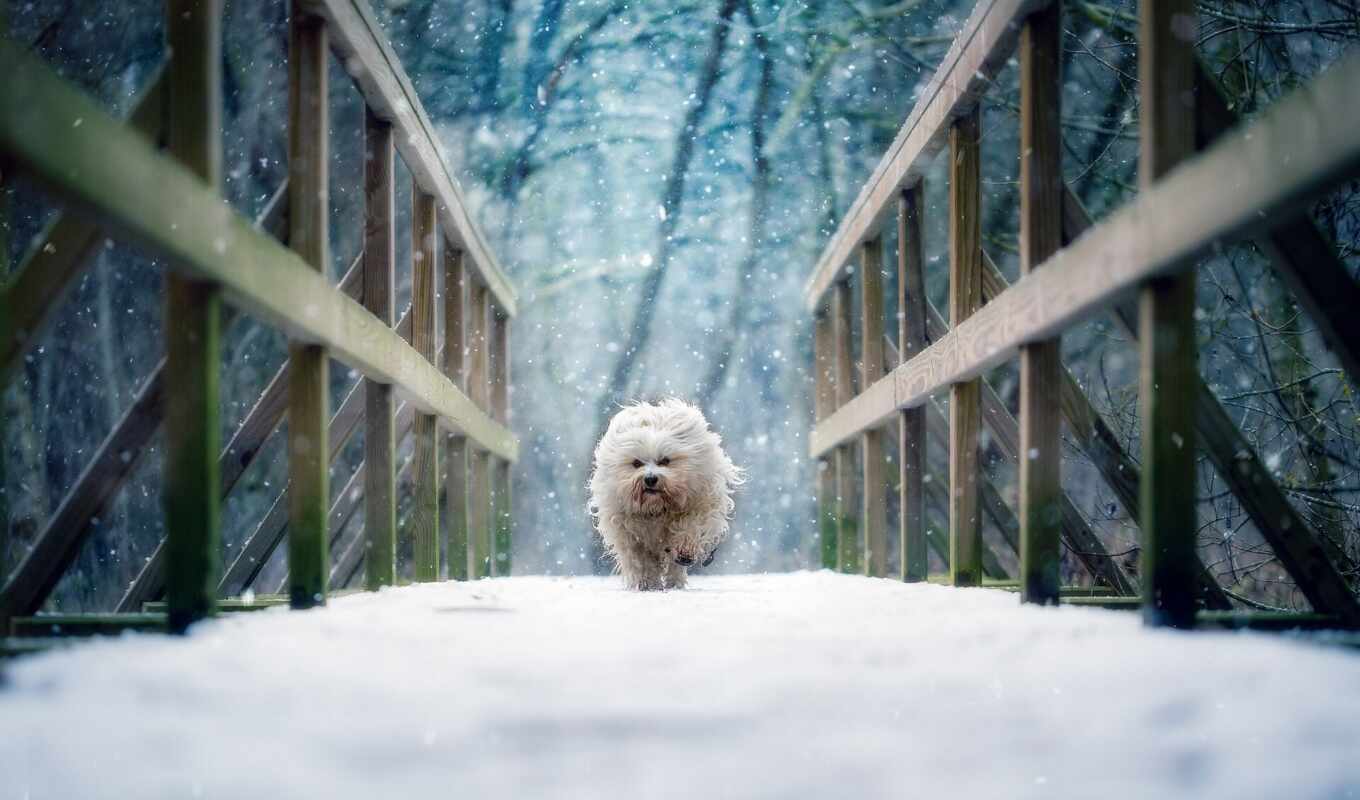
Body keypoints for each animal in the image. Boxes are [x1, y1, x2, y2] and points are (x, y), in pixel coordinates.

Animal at [590, 397, 745, 590]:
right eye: (636, 463)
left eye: (665, 461)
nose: (650, 479)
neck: (658, 506)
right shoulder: (626, 528)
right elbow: (639, 558)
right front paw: (647, 583)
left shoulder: (702, 501)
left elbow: (691, 525)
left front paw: (685, 549)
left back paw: (675, 580)